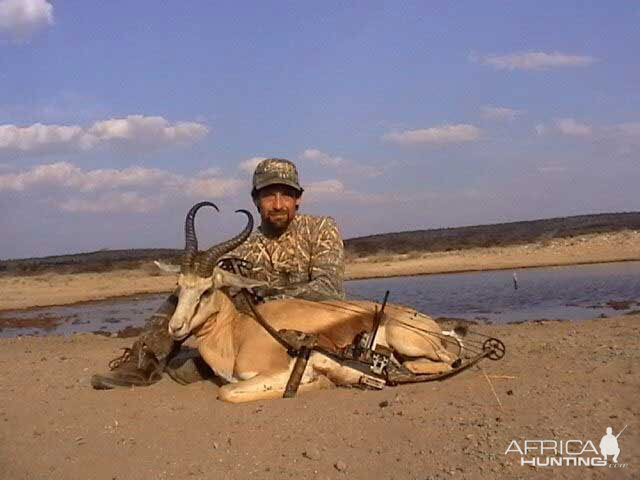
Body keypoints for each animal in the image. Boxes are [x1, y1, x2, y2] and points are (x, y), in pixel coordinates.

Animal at [168, 201, 458, 404]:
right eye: (178, 285)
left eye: (207, 290)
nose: (175, 327)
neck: (236, 333)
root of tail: (427, 322)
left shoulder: (274, 373)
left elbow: (227, 392)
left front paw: (321, 381)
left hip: (406, 341)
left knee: (448, 360)